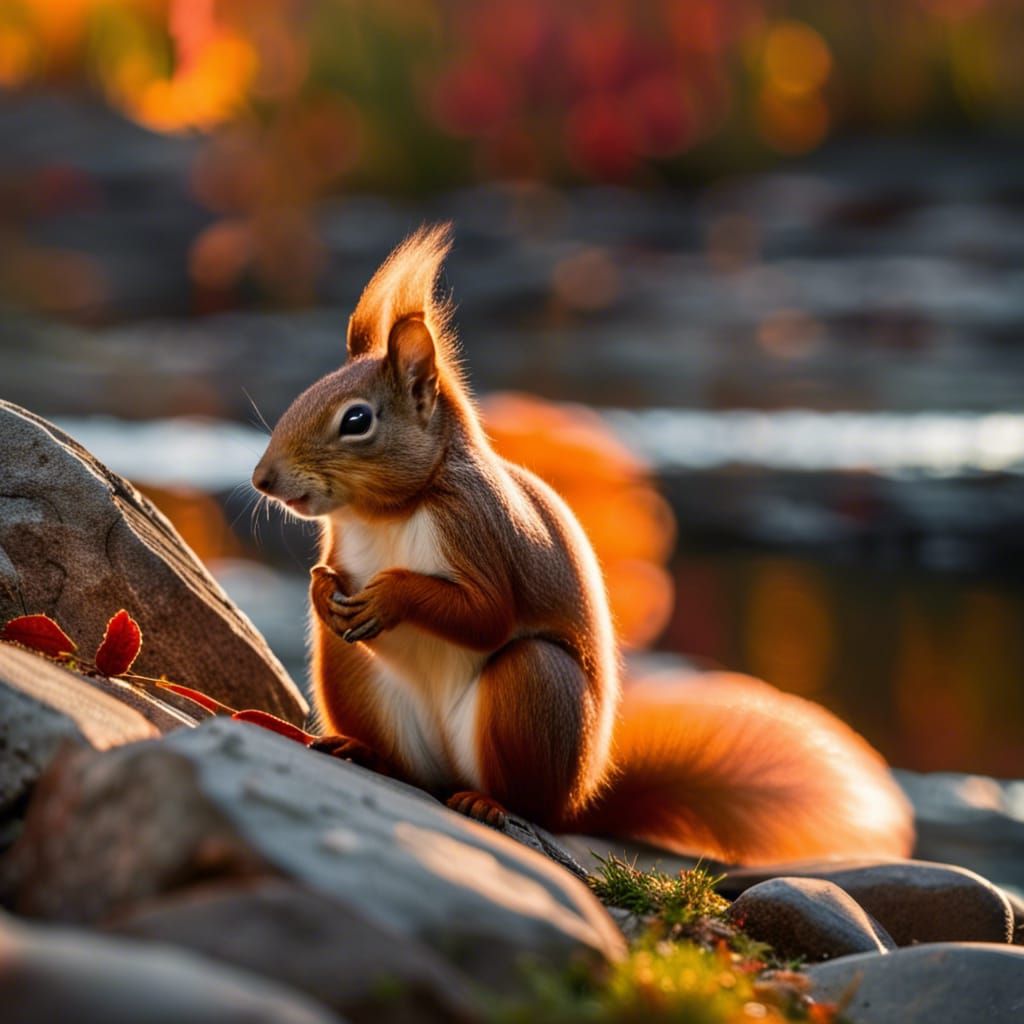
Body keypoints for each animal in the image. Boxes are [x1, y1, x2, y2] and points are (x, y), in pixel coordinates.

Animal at [253, 225, 913, 865]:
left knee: (523, 789)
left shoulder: (478, 527)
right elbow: (334, 577)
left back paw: (488, 803)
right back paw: (363, 752)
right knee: (404, 761)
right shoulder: (344, 541)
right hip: (351, 672)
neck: (393, 510)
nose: (263, 479)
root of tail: (576, 802)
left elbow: (486, 615)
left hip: (534, 688)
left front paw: (390, 596)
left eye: (357, 420)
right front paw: (320, 588)